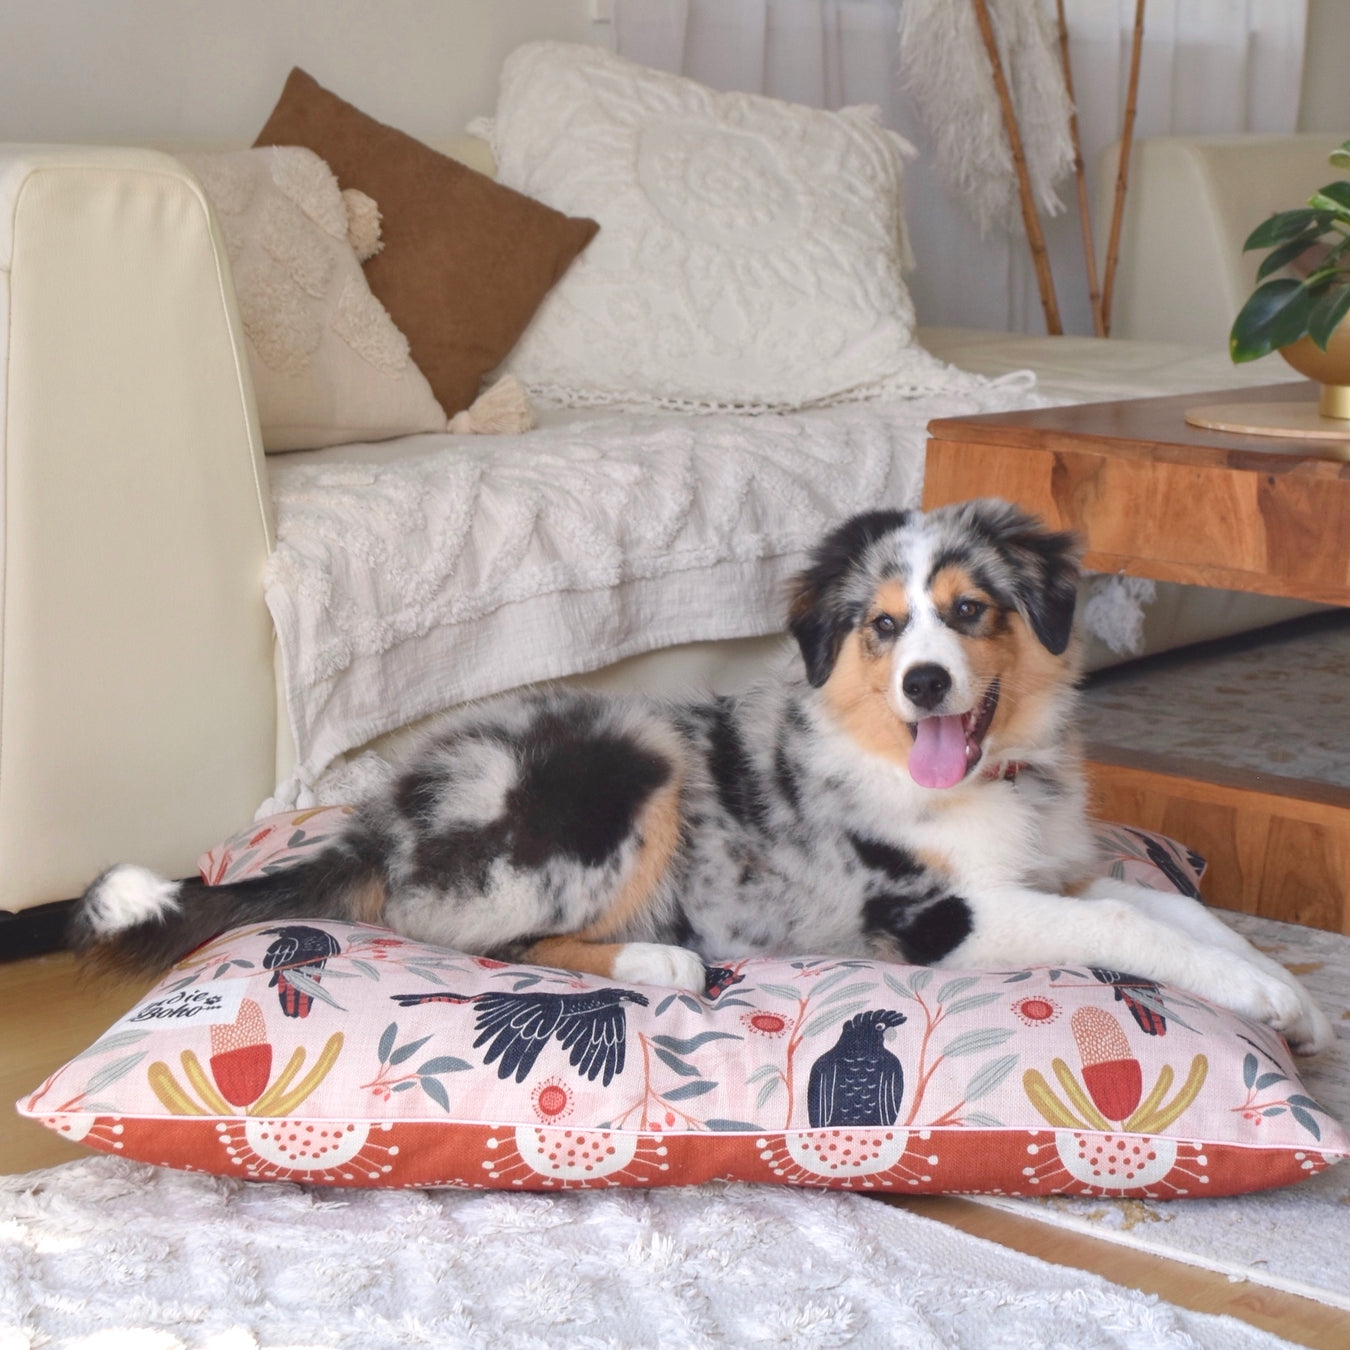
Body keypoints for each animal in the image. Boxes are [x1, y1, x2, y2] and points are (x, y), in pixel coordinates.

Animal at [73, 496, 1328, 1053]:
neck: (990, 780)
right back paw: (661, 959)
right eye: (882, 628)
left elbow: (1174, 908)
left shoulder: (1061, 870)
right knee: (478, 936)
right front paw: (1273, 999)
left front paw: (1288, 997)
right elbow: (1130, 929)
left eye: (971, 611)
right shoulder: (937, 915)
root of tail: (388, 814)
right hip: (624, 761)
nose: (926, 684)